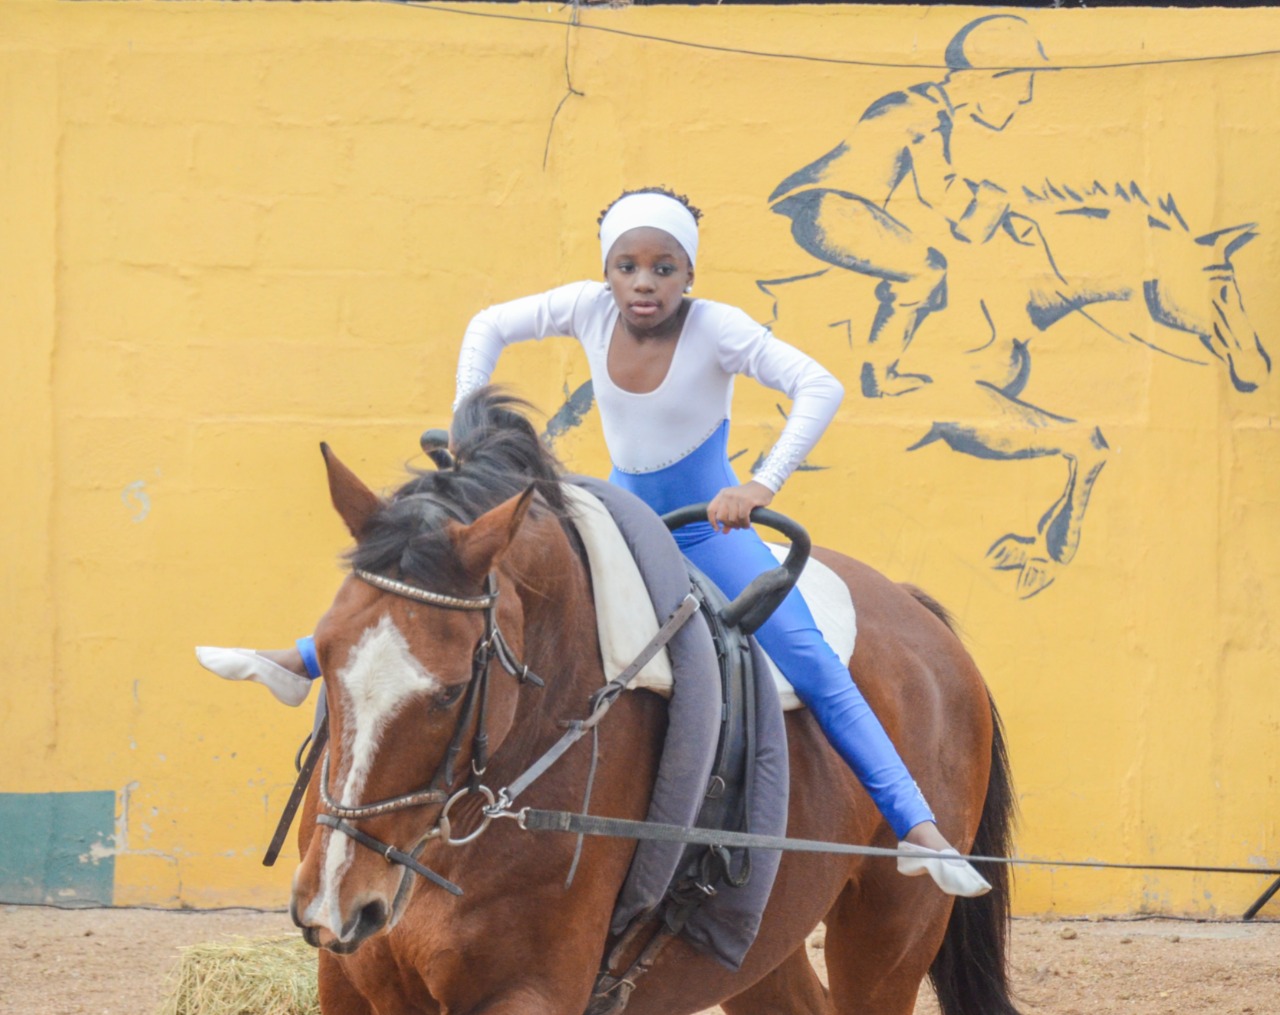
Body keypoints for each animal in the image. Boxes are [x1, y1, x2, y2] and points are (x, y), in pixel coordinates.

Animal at [290, 389, 1018, 1013]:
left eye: (451, 691)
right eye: (324, 651)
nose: (336, 899)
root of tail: (918, 615)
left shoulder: (528, 990)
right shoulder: (347, 979)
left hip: (889, 937)